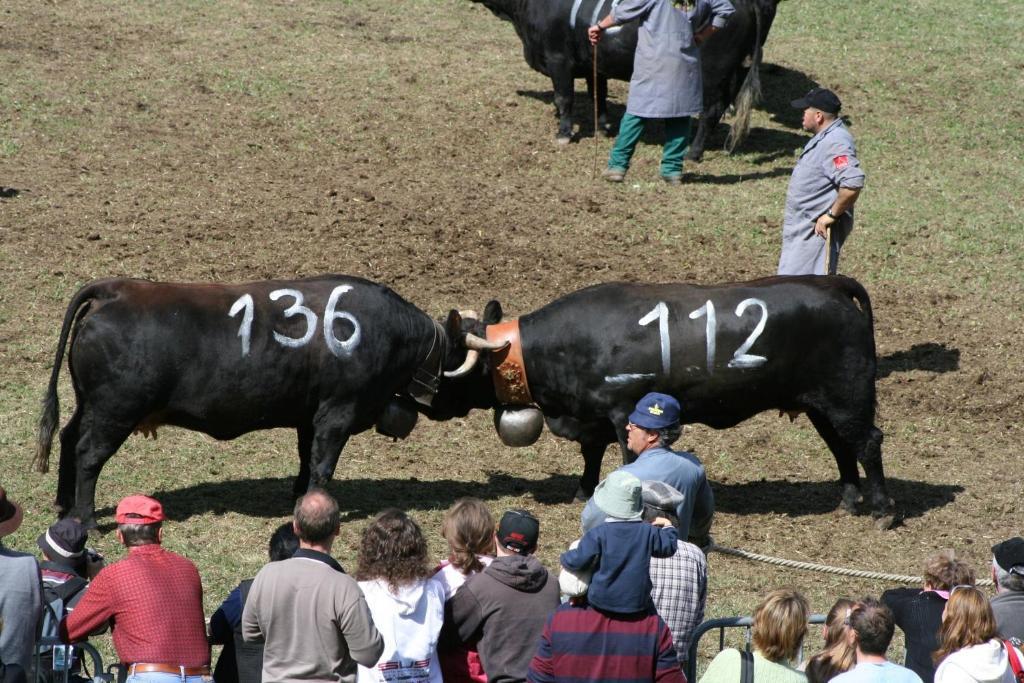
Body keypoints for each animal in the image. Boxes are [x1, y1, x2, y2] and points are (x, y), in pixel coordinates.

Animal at [468, 0, 778, 160]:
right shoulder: (595, 62)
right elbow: (599, 95)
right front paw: (604, 127)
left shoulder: (559, 60)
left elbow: (564, 98)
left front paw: (564, 133)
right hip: (736, 72)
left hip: (713, 75)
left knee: (710, 112)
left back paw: (693, 152)